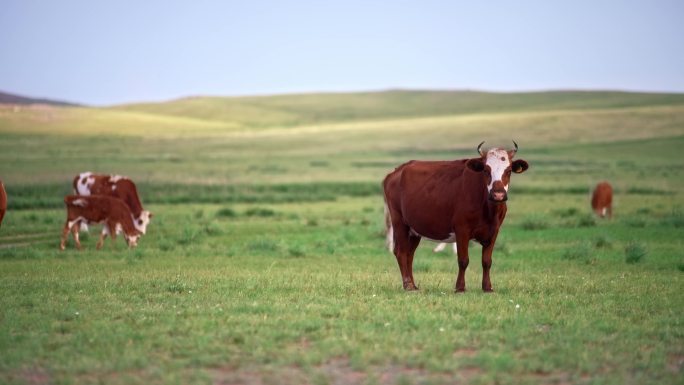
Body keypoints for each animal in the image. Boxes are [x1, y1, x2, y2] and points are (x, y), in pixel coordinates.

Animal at [384, 141, 528, 292]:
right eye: (486, 170)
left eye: (509, 170)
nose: (498, 195)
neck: (488, 210)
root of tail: (397, 171)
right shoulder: (462, 229)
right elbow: (463, 260)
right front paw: (460, 287)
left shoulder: (494, 231)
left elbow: (487, 261)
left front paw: (487, 287)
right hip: (399, 222)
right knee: (401, 252)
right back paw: (408, 285)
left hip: (414, 229)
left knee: (409, 254)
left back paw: (413, 284)